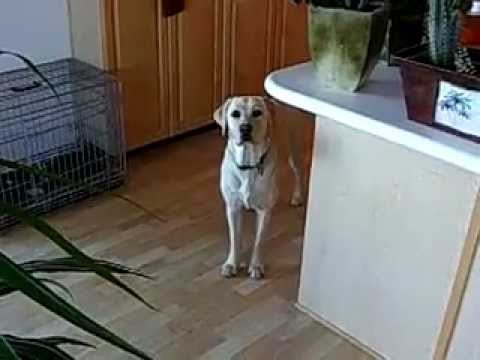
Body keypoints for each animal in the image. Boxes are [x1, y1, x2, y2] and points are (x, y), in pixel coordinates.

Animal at [214, 95, 304, 278]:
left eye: (257, 112)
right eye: (235, 114)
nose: (245, 128)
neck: (248, 164)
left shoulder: (264, 210)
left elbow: (259, 241)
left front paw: (255, 266)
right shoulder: (232, 207)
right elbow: (235, 238)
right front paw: (231, 263)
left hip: (294, 149)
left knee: (298, 172)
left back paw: (297, 196)